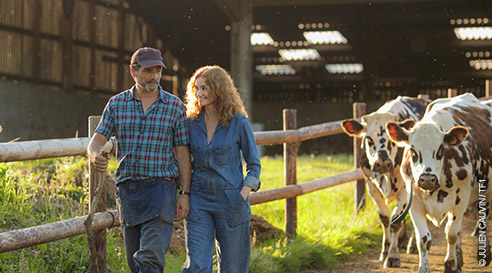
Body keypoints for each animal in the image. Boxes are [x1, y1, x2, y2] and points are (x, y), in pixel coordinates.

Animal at [340, 96, 428, 268]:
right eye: (368, 139)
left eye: (392, 140)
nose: (382, 163)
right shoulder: (371, 186)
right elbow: (385, 218)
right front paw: (385, 250)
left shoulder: (406, 189)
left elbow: (395, 221)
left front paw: (393, 256)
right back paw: (402, 240)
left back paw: (411, 244)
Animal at [386, 92, 492, 270]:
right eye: (412, 150)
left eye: (441, 149)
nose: (427, 179)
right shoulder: (414, 201)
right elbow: (424, 239)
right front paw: (424, 268)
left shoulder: (461, 199)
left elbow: (452, 234)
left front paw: (450, 265)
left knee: (481, 220)